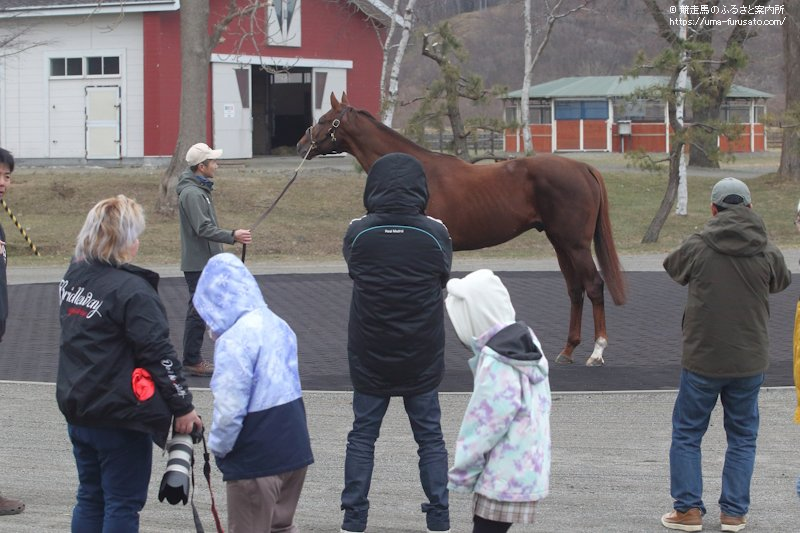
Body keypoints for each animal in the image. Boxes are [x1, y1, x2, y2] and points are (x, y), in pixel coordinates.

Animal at [296, 93, 626, 366]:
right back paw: (568, 350)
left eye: (325, 120)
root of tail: (582, 167)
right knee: (575, 290)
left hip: (576, 244)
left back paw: (597, 351)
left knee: (593, 285)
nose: (301, 144)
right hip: (561, 244)